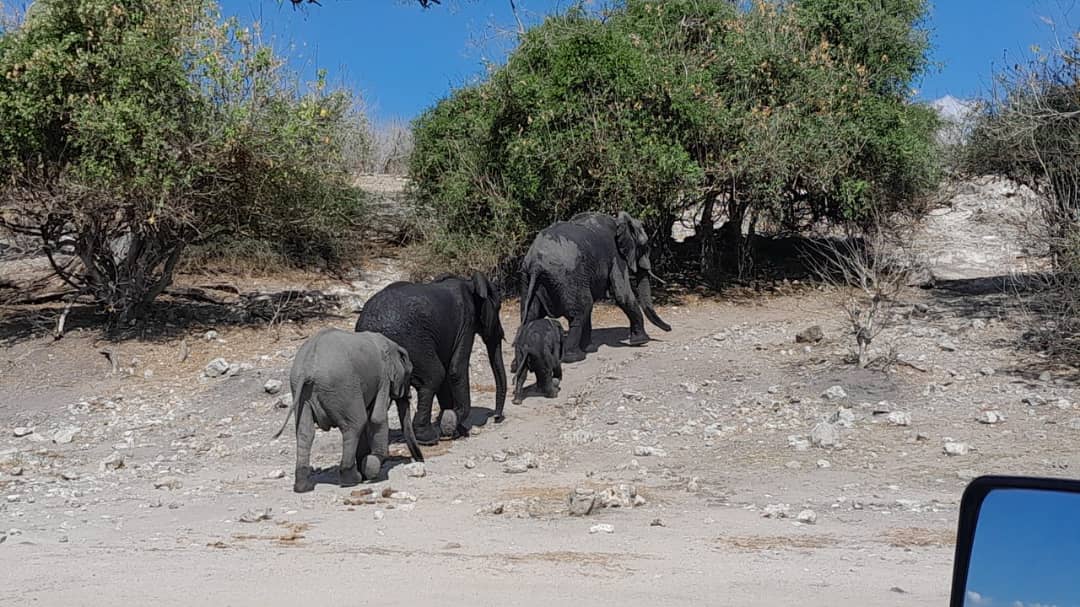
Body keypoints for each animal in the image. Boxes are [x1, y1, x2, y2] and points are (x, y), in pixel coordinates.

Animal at [272, 328, 423, 494]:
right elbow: (376, 417)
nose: (421, 460)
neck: (392, 345)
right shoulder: (383, 378)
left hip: (301, 393)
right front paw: (372, 467)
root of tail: (308, 366)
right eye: (409, 375)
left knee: (305, 432)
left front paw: (366, 468)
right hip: (343, 388)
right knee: (355, 424)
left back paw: (303, 487)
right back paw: (351, 480)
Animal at [355, 272, 508, 446]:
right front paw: (451, 423)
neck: (469, 283)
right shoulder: (466, 323)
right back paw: (428, 438)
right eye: (499, 307)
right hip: (413, 343)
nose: (496, 417)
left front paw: (455, 429)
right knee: (434, 376)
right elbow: (455, 370)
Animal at [519, 211, 671, 363]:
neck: (618, 222)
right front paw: (641, 342)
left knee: (530, 315)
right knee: (582, 309)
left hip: (529, 278)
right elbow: (622, 294)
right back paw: (575, 357)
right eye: (645, 246)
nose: (669, 328)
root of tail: (536, 263)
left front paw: (591, 348)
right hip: (568, 277)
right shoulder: (616, 256)